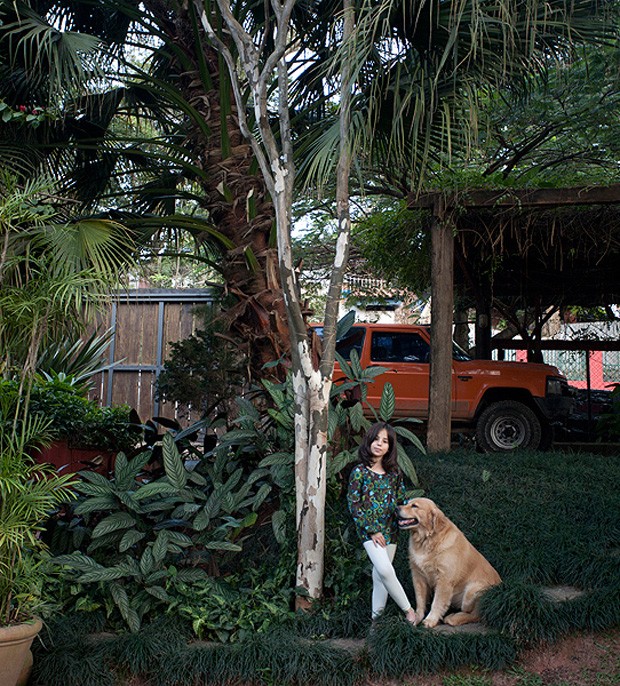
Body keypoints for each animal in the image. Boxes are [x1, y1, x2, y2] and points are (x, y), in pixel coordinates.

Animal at [400, 500, 502, 628]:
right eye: (406, 503)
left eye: (415, 506)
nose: (396, 508)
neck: (426, 541)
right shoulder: (418, 576)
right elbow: (420, 601)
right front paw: (416, 618)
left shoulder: (444, 579)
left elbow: (437, 603)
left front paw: (430, 620)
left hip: (472, 591)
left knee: (474, 613)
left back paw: (453, 618)